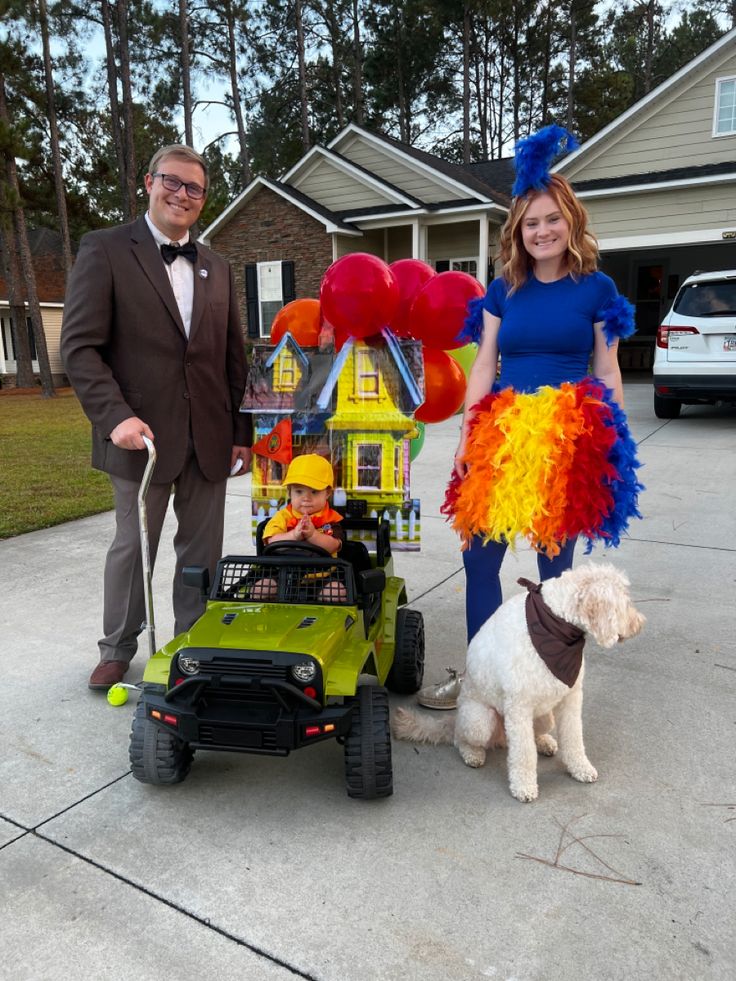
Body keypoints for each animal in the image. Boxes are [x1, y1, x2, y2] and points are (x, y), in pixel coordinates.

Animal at [392, 564, 644, 800]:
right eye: (625, 602)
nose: (640, 624)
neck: (556, 626)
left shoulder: (570, 699)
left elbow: (573, 738)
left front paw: (580, 768)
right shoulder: (519, 707)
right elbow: (524, 753)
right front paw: (524, 787)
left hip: (545, 716)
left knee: (534, 733)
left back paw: (544, 742)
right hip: (479, 721)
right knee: (460, 737)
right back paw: (472, 753)